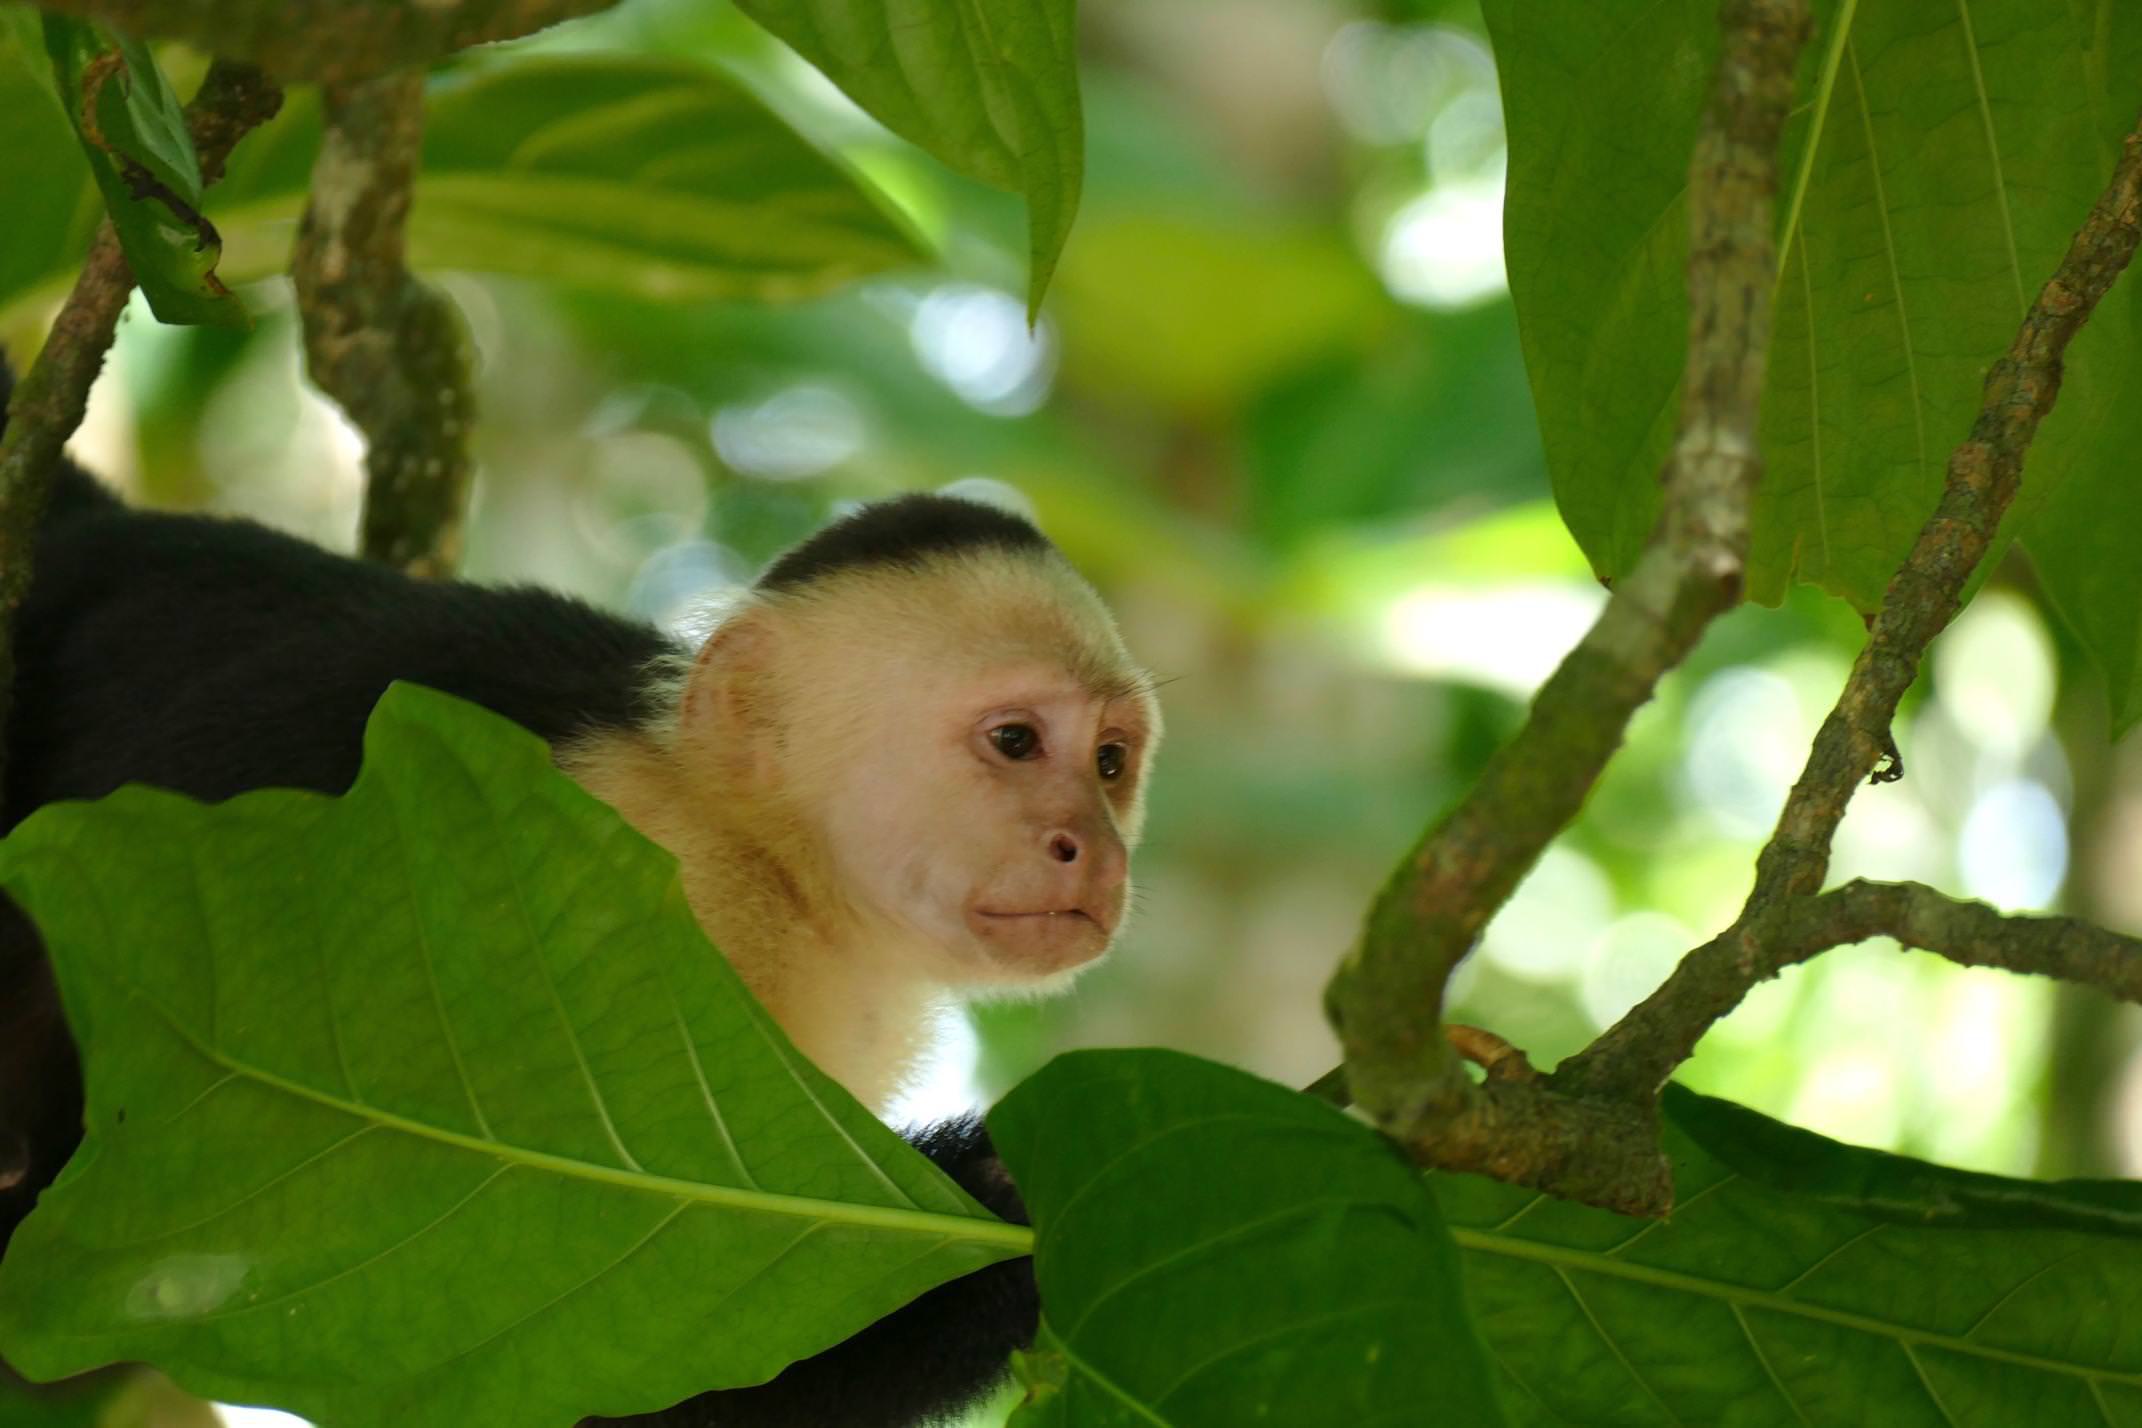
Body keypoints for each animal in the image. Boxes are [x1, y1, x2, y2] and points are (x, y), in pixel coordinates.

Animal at [0, 357, 1156, 1428]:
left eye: (1110, 764)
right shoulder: (624, 895)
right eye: (1015, 742)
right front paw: (1016, 1196)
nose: (1095, 853)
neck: (774, 863)